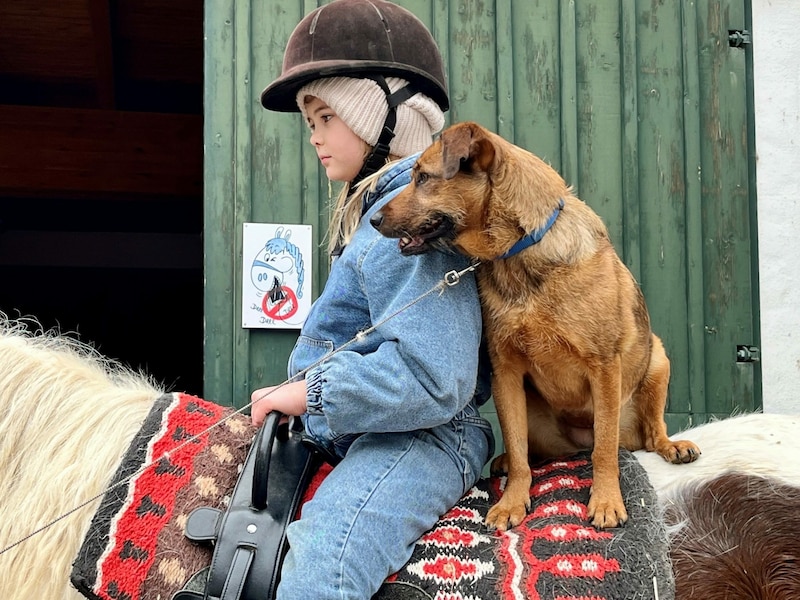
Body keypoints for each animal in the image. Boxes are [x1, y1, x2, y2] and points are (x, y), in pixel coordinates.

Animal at [370, 122, 700, 528]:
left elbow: (605, 450)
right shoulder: (507, 374)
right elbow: (517, 448)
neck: (521, 249)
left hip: (657, 362)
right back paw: (506, 461)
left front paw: (606, 500)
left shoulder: (605, 366)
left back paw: (672, 446)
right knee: (534, 453)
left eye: (423, 178)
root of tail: (577, 443)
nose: (373, 220)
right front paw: (512, 501)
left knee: (647, 435)